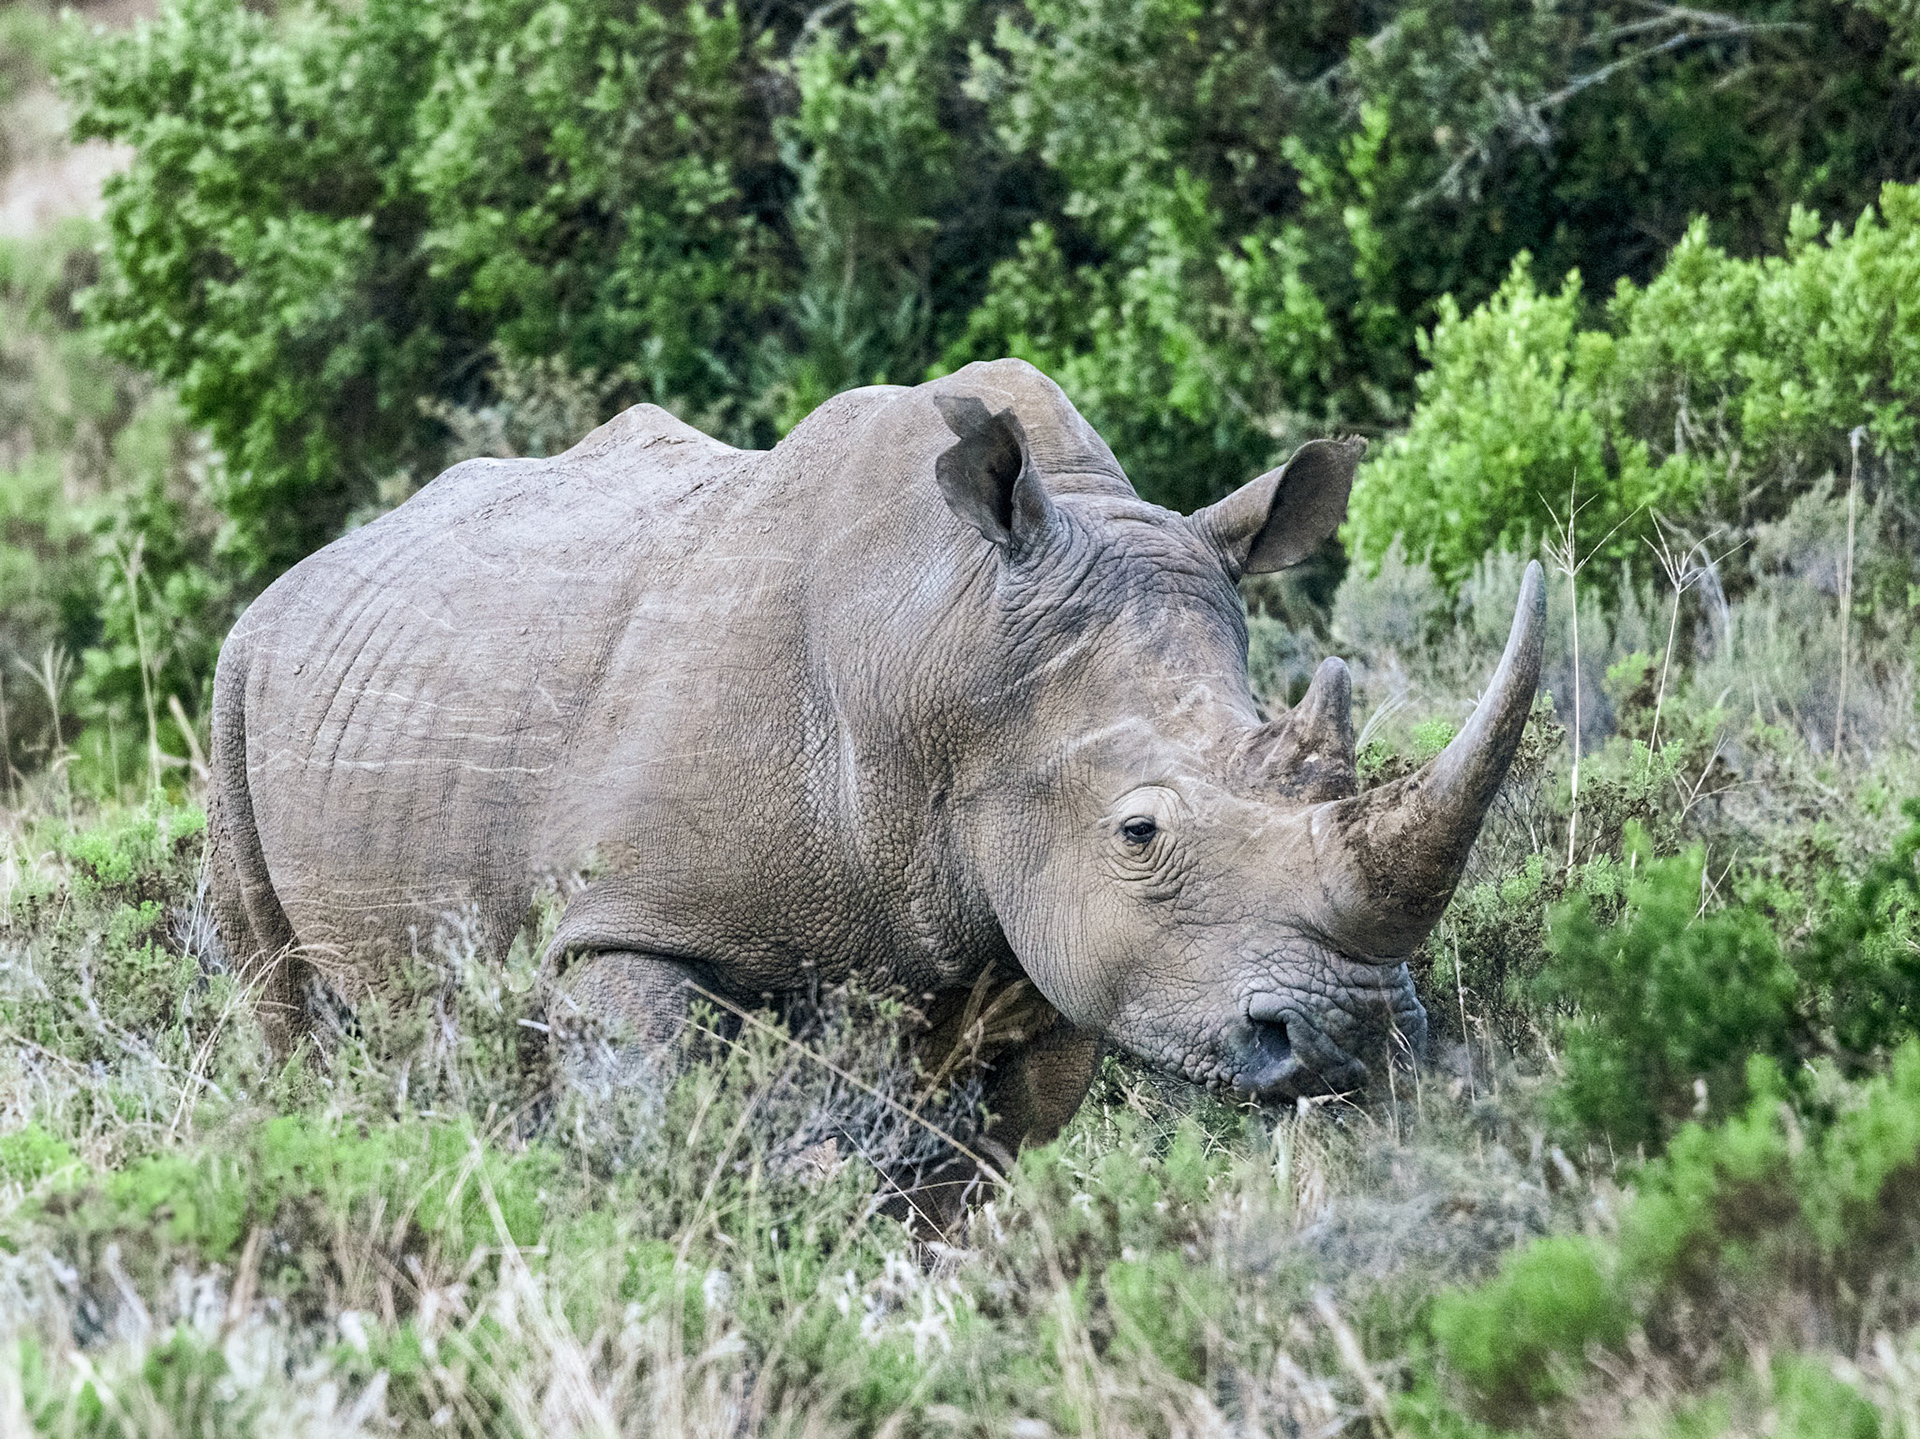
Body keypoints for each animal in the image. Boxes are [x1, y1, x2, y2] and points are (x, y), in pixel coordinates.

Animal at [208, 358, 1543, 1171]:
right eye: (1139, 831)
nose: (1350, 1037)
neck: (946, 654)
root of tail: (312, 566)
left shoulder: (1040, 956)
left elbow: (964, 1181)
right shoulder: (630, 917)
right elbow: (657, 1127)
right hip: (235, 681)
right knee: (280, 995)